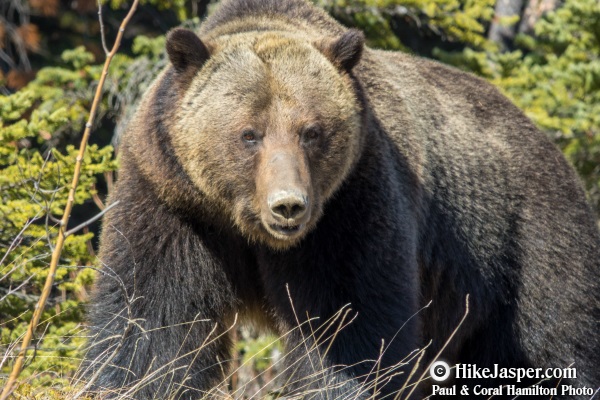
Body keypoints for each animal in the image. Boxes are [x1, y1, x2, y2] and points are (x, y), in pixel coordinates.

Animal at [81, 0, 600, 398]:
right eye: (249, 133)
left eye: (311, 131)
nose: (288, 205)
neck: (245, 228)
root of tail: (546, 141)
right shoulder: (174, 202)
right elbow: (151, 323)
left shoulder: (350, 205)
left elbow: (348, 325)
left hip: (523, 242)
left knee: (553, 340)